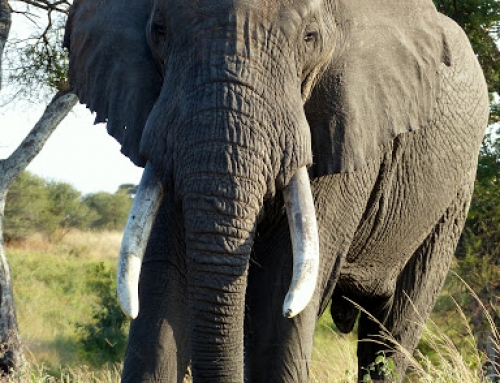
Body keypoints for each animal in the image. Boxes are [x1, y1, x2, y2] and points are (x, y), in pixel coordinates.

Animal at [62, 0, 488, 382]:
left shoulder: (348, 124)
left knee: (394, 329)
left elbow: (278, 303)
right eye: (160, 30)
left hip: (454, 195)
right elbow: (164, 285)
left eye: (310, 38)